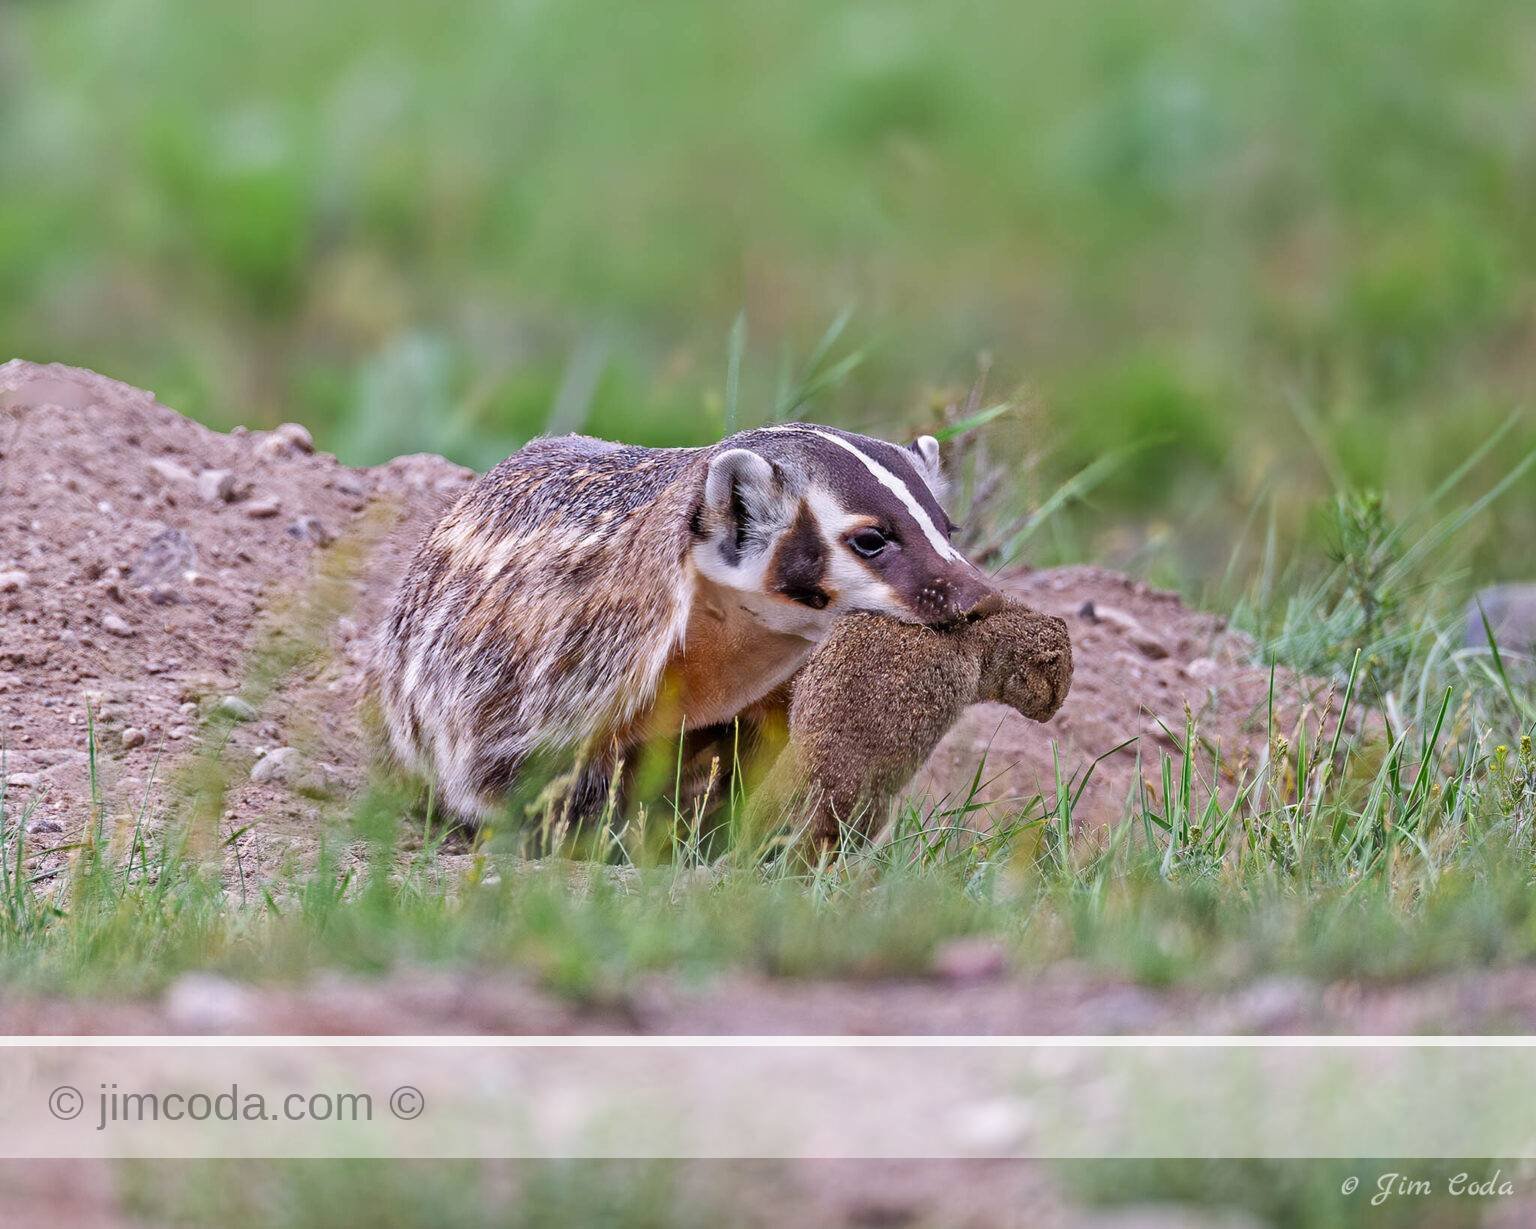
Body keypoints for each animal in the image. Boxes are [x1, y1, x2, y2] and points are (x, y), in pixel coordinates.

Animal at [369, 424, 1002, 820]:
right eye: (871, 539)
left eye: (946, 528)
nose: (979, 596)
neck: (724, 654)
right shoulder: (581, 653)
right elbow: (525, 759)